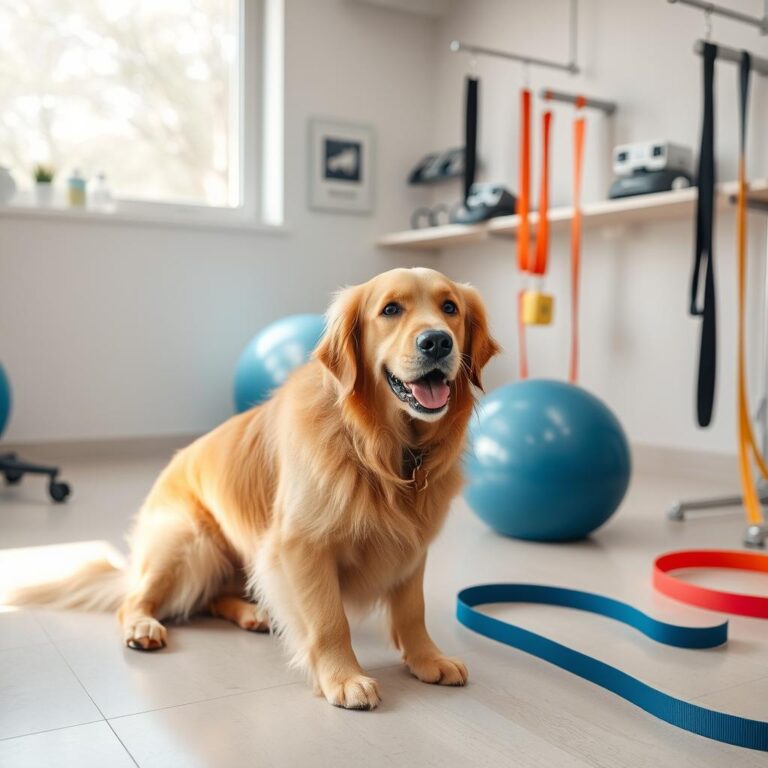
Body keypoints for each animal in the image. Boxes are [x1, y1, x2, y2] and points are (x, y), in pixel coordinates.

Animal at [9, 268, 500, 712]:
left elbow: (412, 610)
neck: (381, 449)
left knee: (212, 598)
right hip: (189, 542)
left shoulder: (412, 543)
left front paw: (428, 658)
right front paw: (344, 678)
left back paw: (254, 613)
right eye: (391, 310)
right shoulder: (300, 545)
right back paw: (144, 626)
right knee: (136, 599)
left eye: (450, 308)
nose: (437, 342)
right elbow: (329, 621)